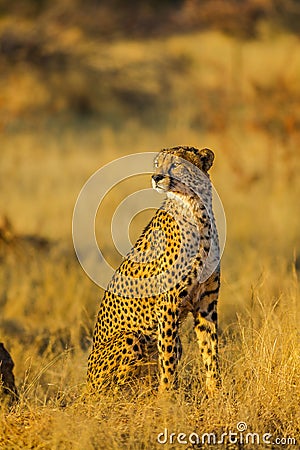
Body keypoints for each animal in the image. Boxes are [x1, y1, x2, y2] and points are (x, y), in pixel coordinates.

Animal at [86, 147, 220, 394]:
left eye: (176, 165)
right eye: (158, 164)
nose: (156, 177)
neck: (195, 210)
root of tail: (86, 386)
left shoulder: (206, 302)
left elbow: (210, 350)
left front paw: (217, 393)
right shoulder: (168, 303)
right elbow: (167, 359)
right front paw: (166, 397)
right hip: (130, 338)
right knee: (115, 390)